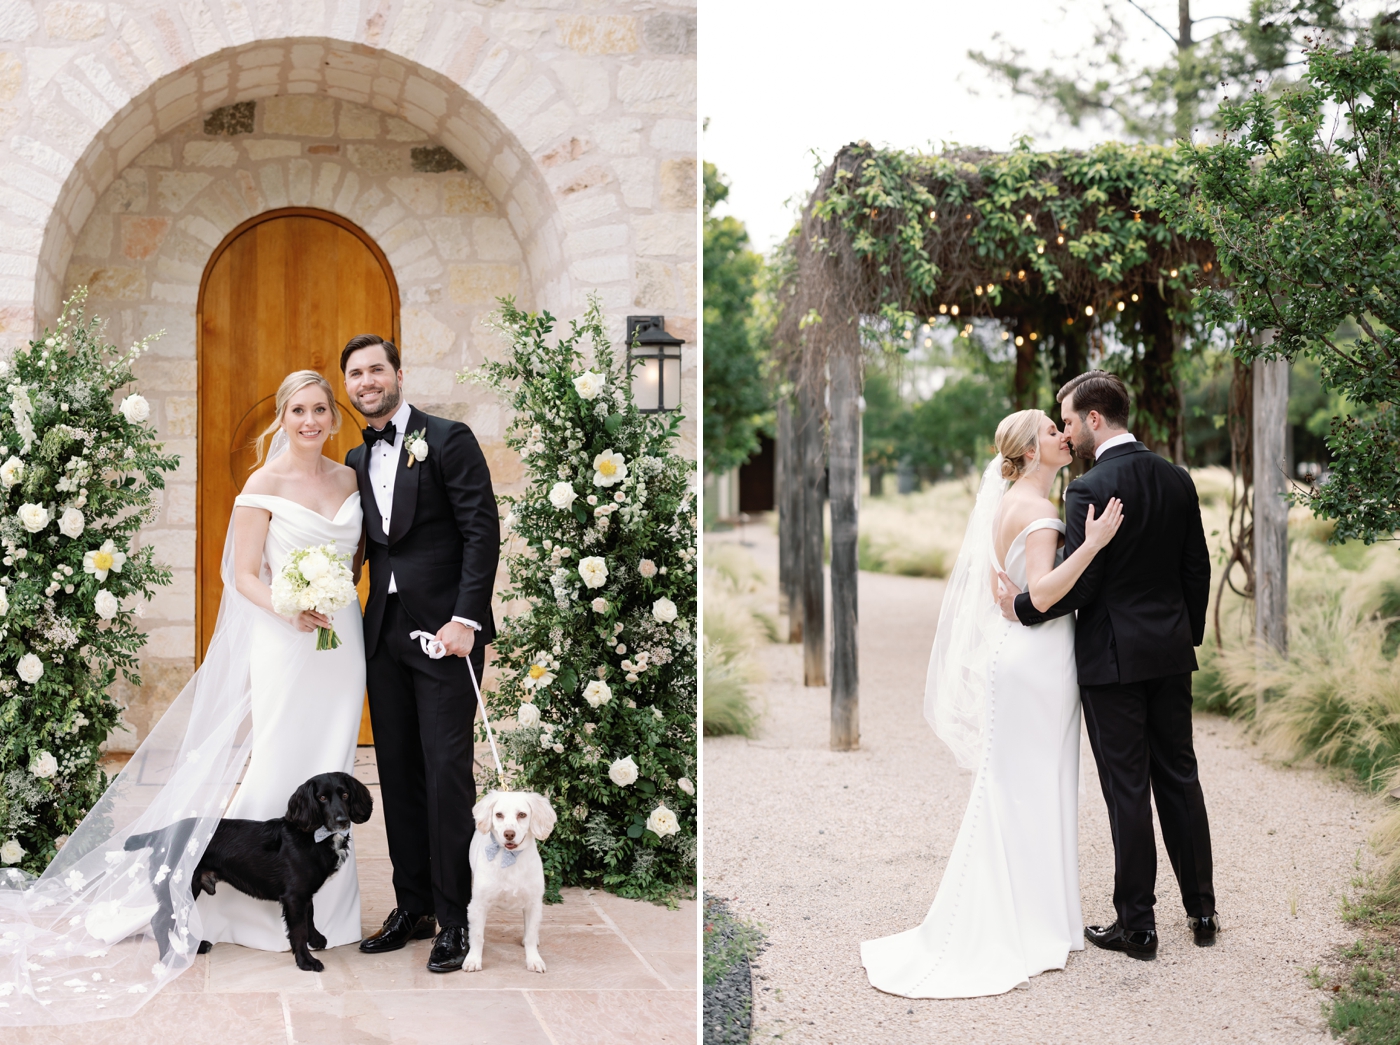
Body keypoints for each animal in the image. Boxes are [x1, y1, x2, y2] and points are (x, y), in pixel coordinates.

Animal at [125, 767, 372, 969]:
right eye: (321, 797)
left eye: (345, 794)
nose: (342, 820)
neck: (313, 836)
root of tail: (161, 832)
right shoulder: (294, 896)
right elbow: (298, 930)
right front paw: (306, 962)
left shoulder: (303, 893)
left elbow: (310, 916)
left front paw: (316, 939)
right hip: (177, 883)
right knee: (160, 921)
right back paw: (172, 960)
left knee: (178, 919)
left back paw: (192, 949)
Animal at [470, 790, 557, 969]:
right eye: (499, 814)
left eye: (522, 814)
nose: (509, 834)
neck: (510, 858)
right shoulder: (478, 903)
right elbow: (477, 935)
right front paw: (473, 959)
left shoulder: (533, 904)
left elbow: (530, 935)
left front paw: (534, 960)